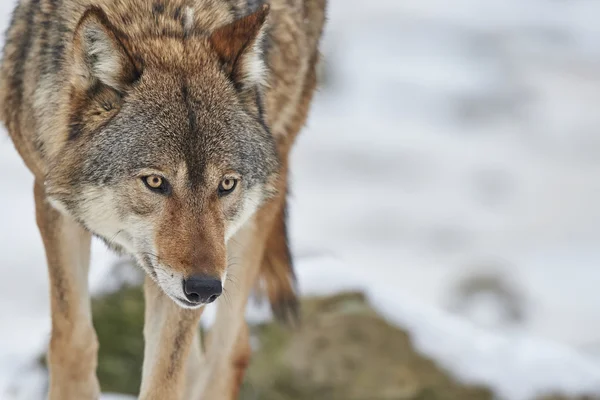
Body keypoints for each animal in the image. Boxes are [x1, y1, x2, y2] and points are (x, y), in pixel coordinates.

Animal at [0, 0, 326, 396]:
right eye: (156, 181)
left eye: (226, 184)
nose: (205, 289)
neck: (161, 17)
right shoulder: (53, 201)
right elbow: (72, 342)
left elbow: (164, 379)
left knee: (231, 351)